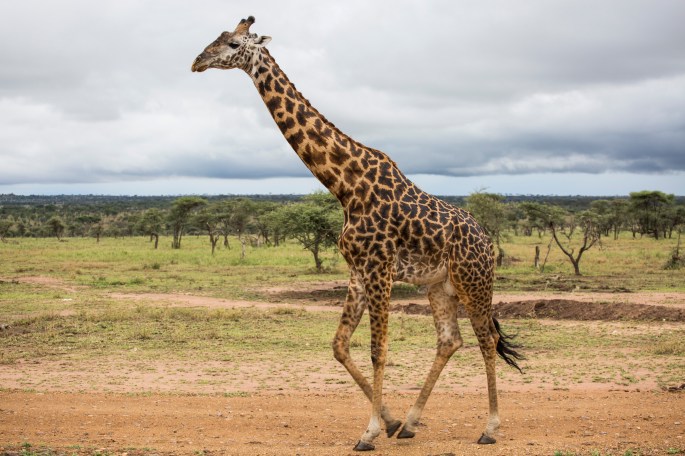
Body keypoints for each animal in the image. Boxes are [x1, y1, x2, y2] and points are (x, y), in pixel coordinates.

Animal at [191, 16, 523, 451]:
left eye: (232, 43)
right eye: (215, 38)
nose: (197, 61)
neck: (345, 185)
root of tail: (487, 240)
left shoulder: (380, 268)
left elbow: (377, 349)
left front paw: (369, 432)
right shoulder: (358, 270)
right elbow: (339, 345)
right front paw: (390, 420)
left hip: (474, 281)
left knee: (486, 340)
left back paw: (490, 428)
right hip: (440, 286)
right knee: (451, 340)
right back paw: (412, 423)